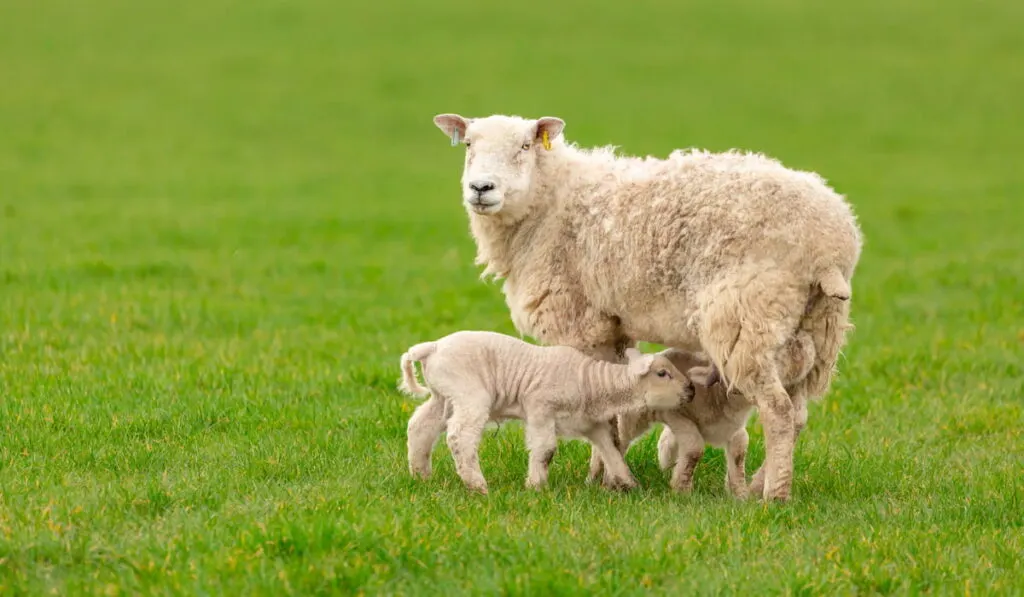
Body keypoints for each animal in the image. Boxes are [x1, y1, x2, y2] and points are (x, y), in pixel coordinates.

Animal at [395, 329, 692, 493]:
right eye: (662, 373)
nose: (691, 390)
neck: (590, 382)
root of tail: (431, 347)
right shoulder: (539, 408)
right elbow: (546, 450)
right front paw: (536, 486)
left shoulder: (590, 423)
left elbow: (611, 450)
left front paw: (629, 484)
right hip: (469, 393)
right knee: (460, 436)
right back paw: (477, 485)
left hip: (443, 395)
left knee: (420, 426)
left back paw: (421, 475)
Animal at [614, 331, 815, 499]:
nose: (805, 344)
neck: (719, 397)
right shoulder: (676, 414)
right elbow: (694, 447)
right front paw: (682, 491)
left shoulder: (735, 431)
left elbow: (738, 455)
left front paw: (740, 495)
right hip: (635, 416)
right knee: (622, 435)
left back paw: (666, 461)